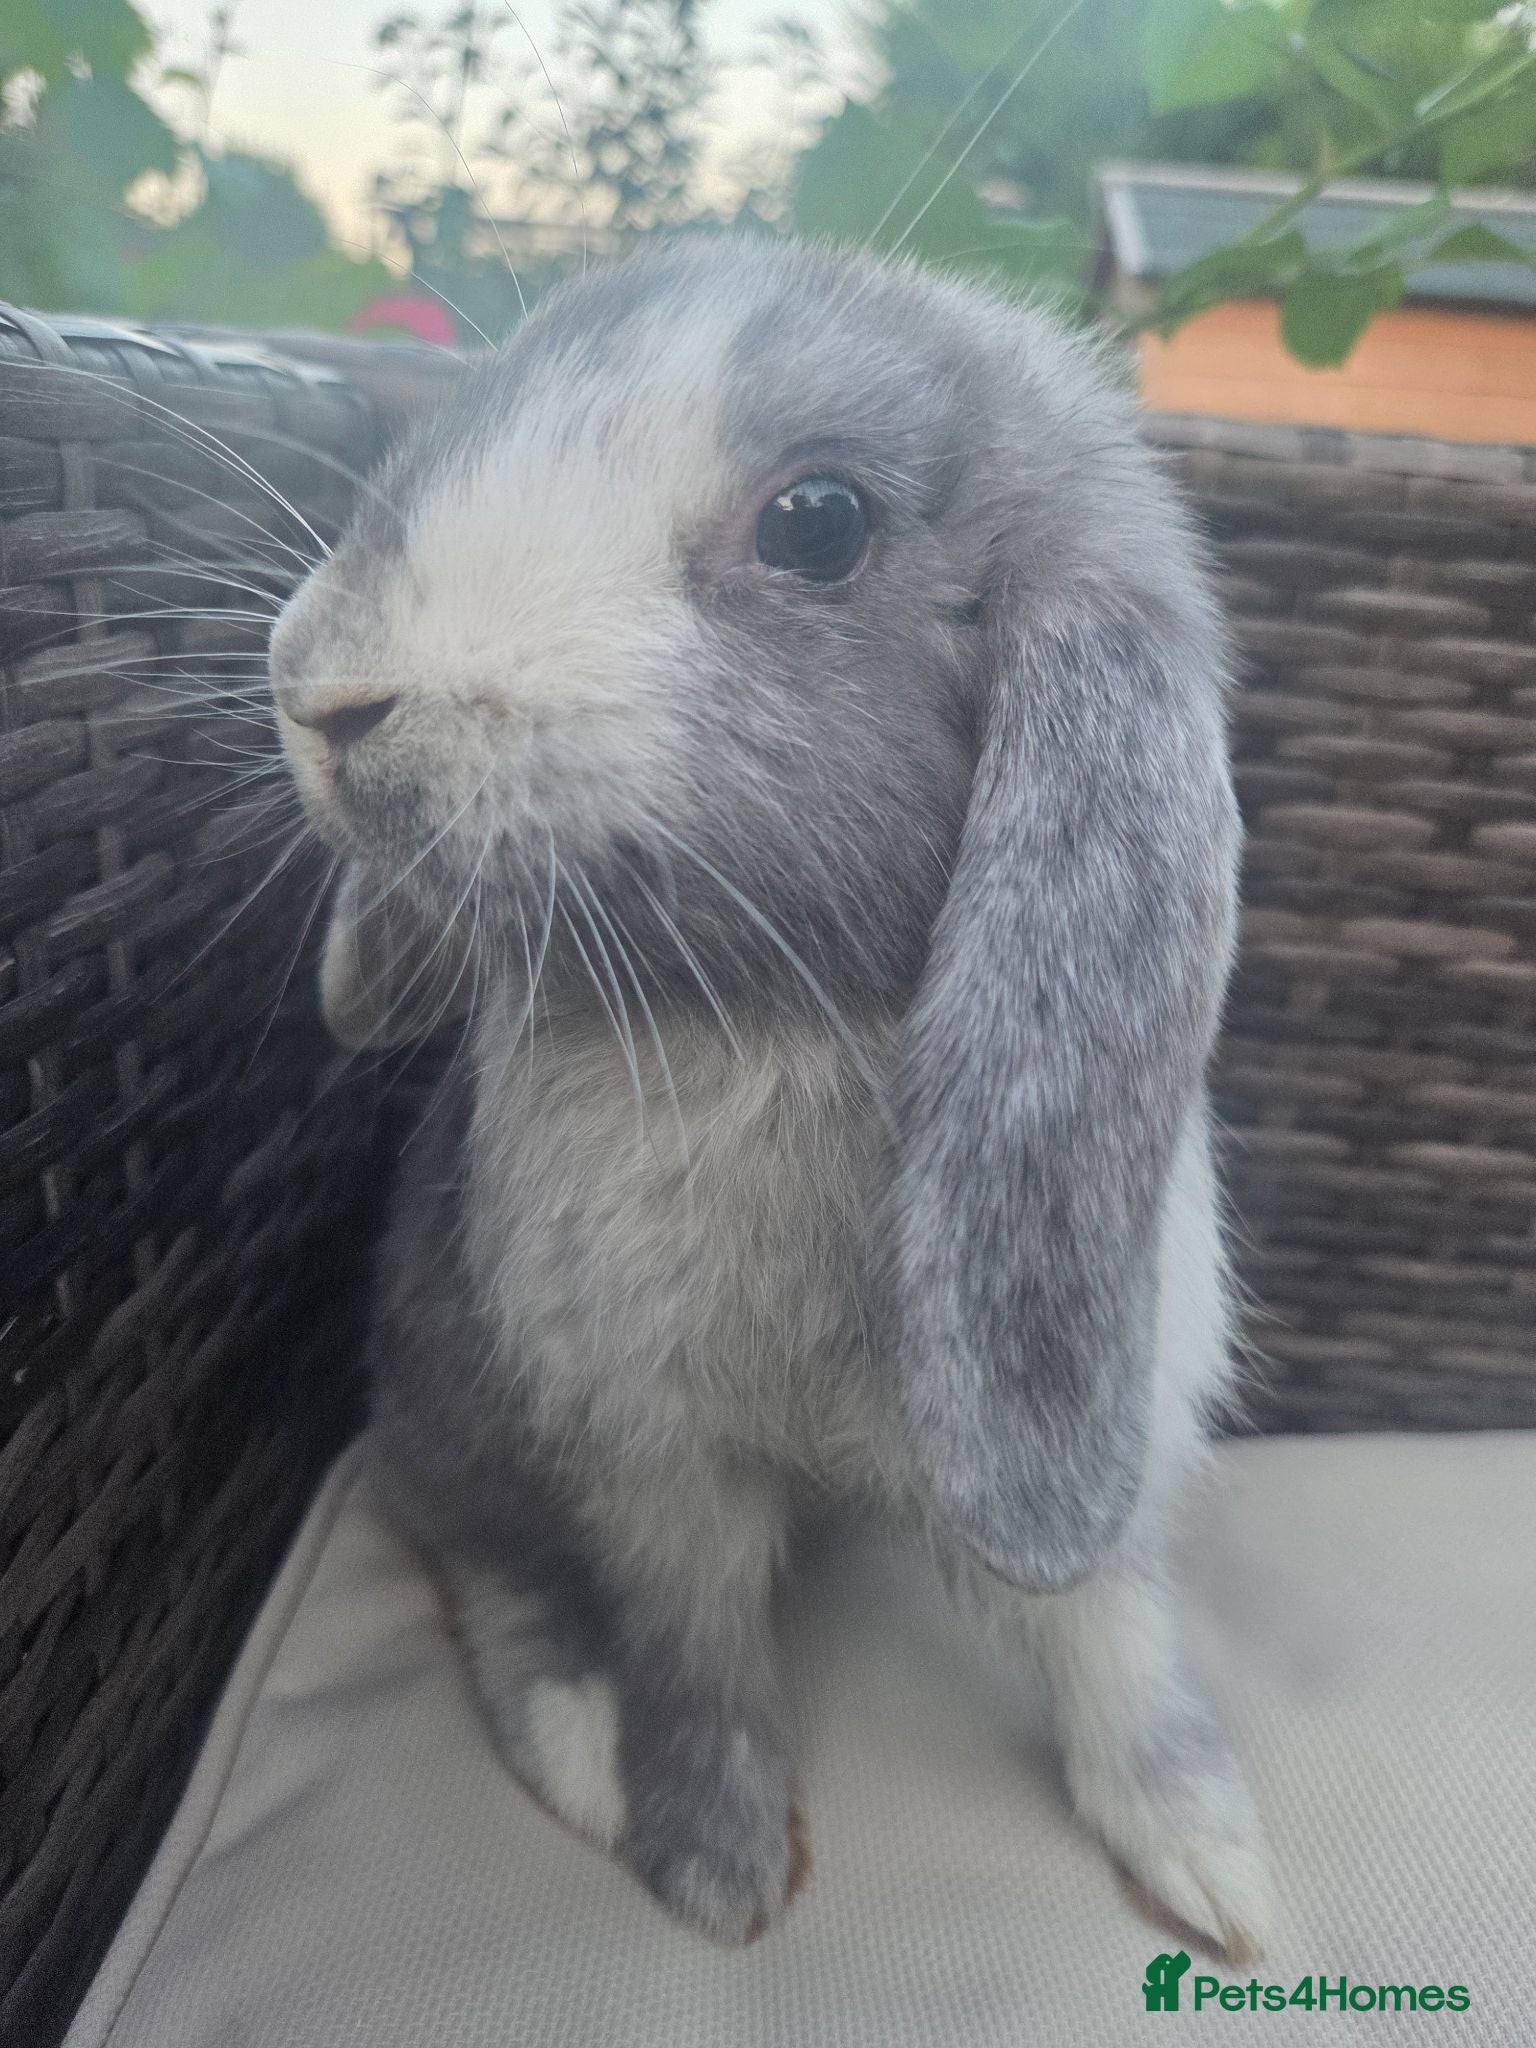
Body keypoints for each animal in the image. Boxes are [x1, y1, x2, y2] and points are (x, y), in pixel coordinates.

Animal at [269, 236, 1272, 1960]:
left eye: (817, 522)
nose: (323, 691)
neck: (773, 1017)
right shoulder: (649, 1447)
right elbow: (700, 1647)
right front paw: (717, 1870)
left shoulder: (1106, 1428)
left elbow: (1110, 1633)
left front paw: (1212, 1863)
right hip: (456, 1396)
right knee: (483, 1555)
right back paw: (578, 1747)